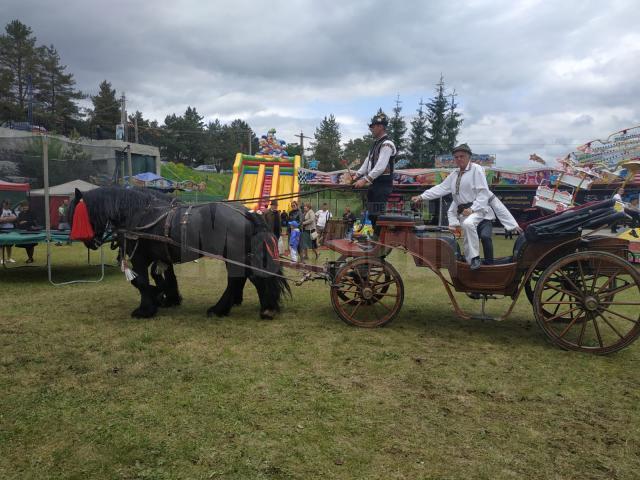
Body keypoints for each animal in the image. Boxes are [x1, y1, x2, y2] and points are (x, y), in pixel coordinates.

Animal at [71, 187, 288, 318]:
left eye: (75, 213)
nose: (90, 242)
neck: (139, 214)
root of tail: (246, 212)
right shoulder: (160, 256)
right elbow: (163, 276)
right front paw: (168, 297)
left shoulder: (140, 257)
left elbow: (140, 281)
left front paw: (146, 308)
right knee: (248, 278)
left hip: (233, 255)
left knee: (239, 279)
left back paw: (227, 308)